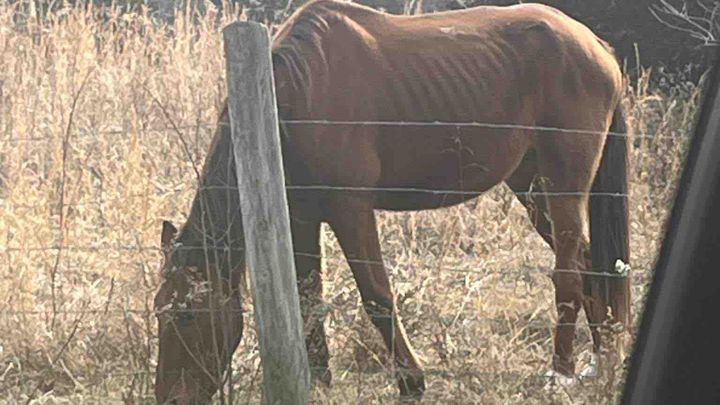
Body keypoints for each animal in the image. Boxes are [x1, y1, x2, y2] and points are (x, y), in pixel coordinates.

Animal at [153, 0, 631, 402]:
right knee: (589, 262)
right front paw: (321, 382)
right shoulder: (301, 218)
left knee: (567, 271)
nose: (170, 398)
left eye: (188, 316)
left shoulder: (350, 210)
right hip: (530, 184)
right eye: (159, 311)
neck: (292, 98)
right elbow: (309, 300)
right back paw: (601, 359)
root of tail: (598, 47)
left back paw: (560, 373)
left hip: (563, 182)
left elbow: (377, 295)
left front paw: (411, 381)